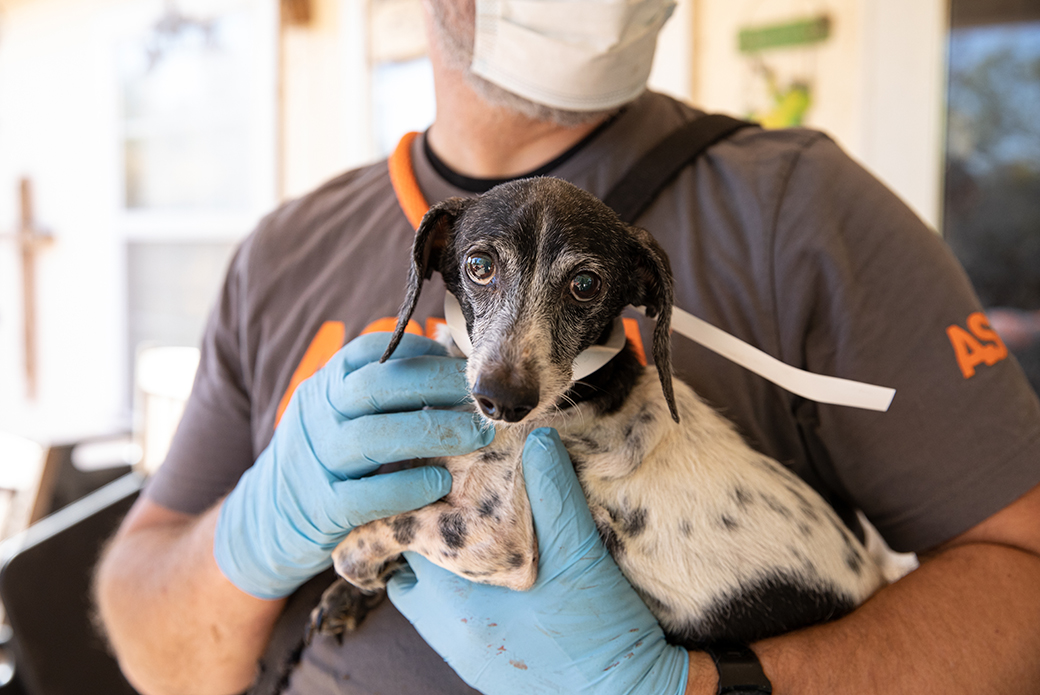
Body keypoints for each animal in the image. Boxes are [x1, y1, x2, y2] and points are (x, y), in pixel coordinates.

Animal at [312, 176, 881, 649]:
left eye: (585, 285)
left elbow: (391, 525)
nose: (502, 398)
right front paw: (345, 599)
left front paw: (355, 565)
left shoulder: (497, 539)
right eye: (480, 266)